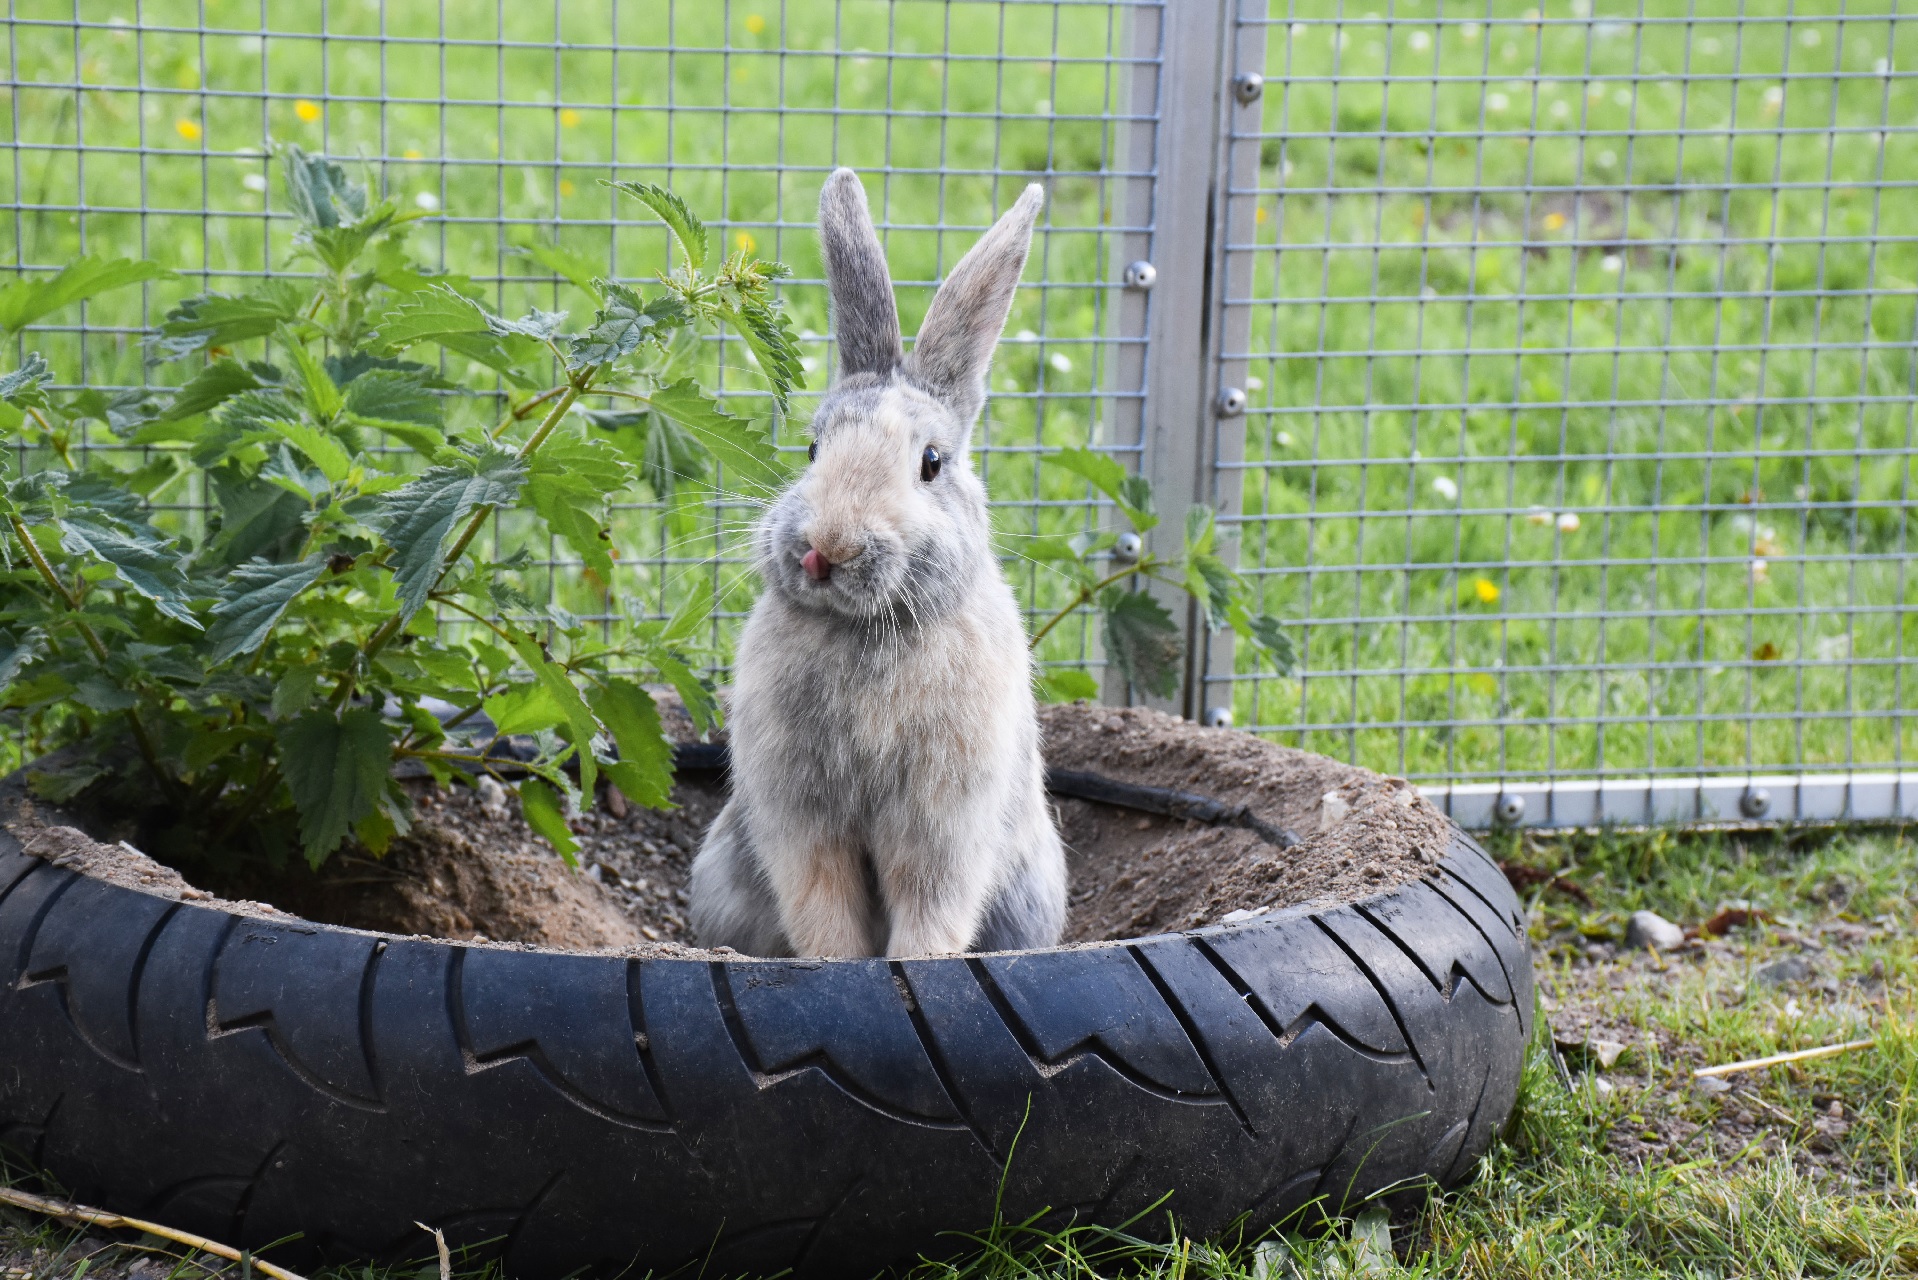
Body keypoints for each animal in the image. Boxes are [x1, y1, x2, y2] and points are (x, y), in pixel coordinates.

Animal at [690, 165, 1074, 955]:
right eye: (812, 448)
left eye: (931, 462)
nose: (823, 550)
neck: (866, 628)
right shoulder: (803, 822)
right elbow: (823, 902)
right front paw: (839, 966)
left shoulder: (943, 826)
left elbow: (931, 904)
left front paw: (917, 963)